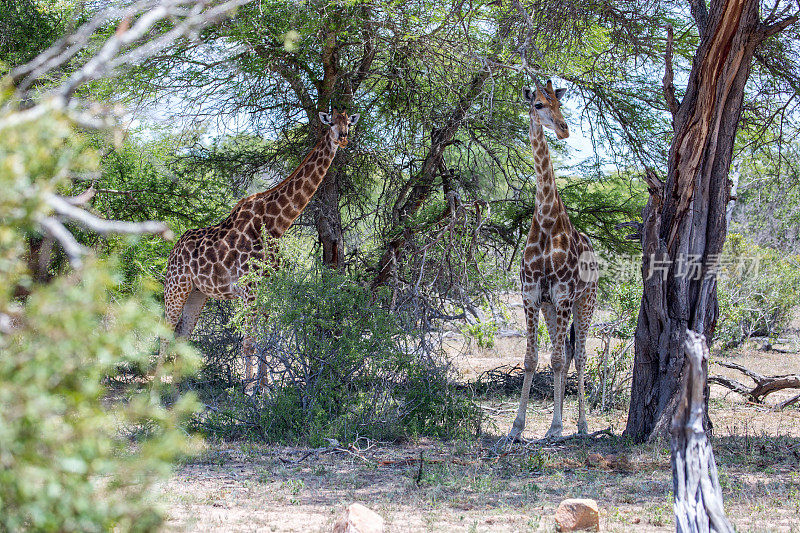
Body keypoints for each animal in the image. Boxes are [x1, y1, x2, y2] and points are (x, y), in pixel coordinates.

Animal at [159, 110, 360, 388]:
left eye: (348, 122)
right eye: (330, 122)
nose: (343, 137)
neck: (275, 224)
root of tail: (174, 249)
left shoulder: (266, 289)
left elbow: (265, 341)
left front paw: (265, 389)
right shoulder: (249, 290)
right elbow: (249, 344)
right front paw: (248, 391)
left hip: (198, 292)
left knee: (183, 334)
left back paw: (180, 389)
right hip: (176, 285)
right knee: (165, 331)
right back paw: (154, 384)